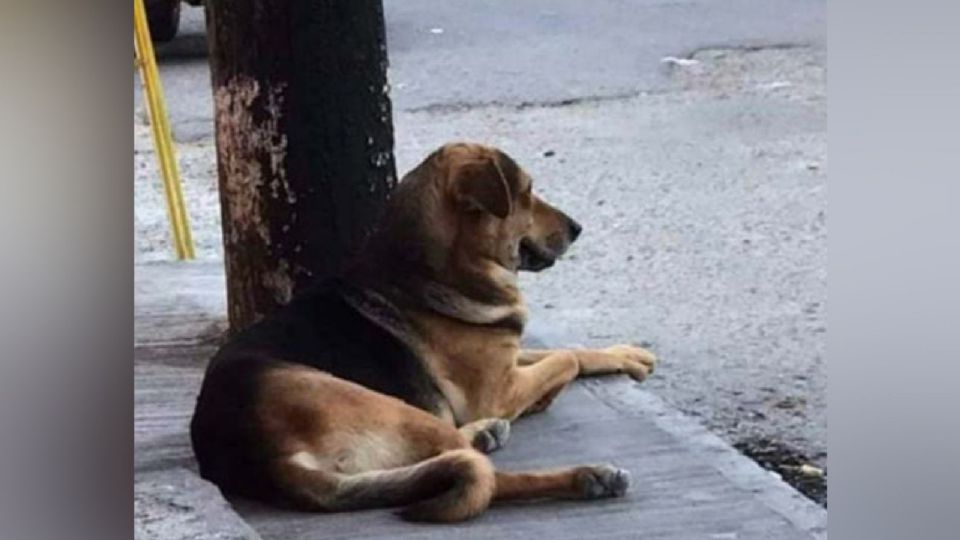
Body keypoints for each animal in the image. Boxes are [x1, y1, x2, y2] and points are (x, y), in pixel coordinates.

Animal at [191, 141, 656, 520]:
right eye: (526, 192)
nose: (578, 228)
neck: (431, 270)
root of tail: (264, 458)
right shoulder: (498, 391)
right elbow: (567, 358)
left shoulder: (506, 358)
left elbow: (570, 351)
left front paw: (625, 354)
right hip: (382, 404)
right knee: (484, 475)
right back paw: (589, 476)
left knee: (453, 458)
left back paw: (487, 434)